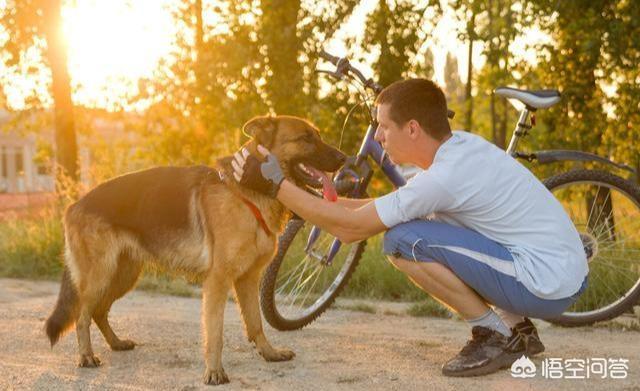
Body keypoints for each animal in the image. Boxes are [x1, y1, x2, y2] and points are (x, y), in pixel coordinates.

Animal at [44, 115, 344, 386]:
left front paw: (269, 353)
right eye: (306, 138)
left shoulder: (248, 280)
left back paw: (116, 343)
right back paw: (86, 356)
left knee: (99, 311)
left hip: (123, 276)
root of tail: (74, 204)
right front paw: (214, 372)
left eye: (317, 135)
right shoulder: (218, 282)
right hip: (100, 276)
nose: (344, 159)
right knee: (82, 315)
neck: (246, 193)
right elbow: (215, 332)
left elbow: (256, 323)